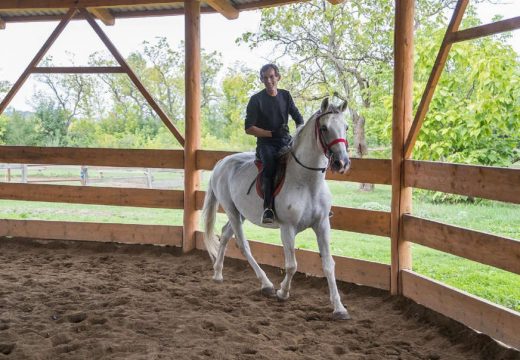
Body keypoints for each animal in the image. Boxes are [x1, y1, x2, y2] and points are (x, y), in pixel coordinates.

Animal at [201, 97, 352, 320]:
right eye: (324, 128)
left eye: (346, 127)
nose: (342, 162)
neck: (307, 182)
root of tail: (221, 162)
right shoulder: (287, 228)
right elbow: (291, 265)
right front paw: (282, 292)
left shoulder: (322, 225)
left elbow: (328, 265)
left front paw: (339, 308)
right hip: (231, 210)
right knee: (242, 244)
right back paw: (266, 285)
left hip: (241, 212)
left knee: (225, 234)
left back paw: (218, 273)